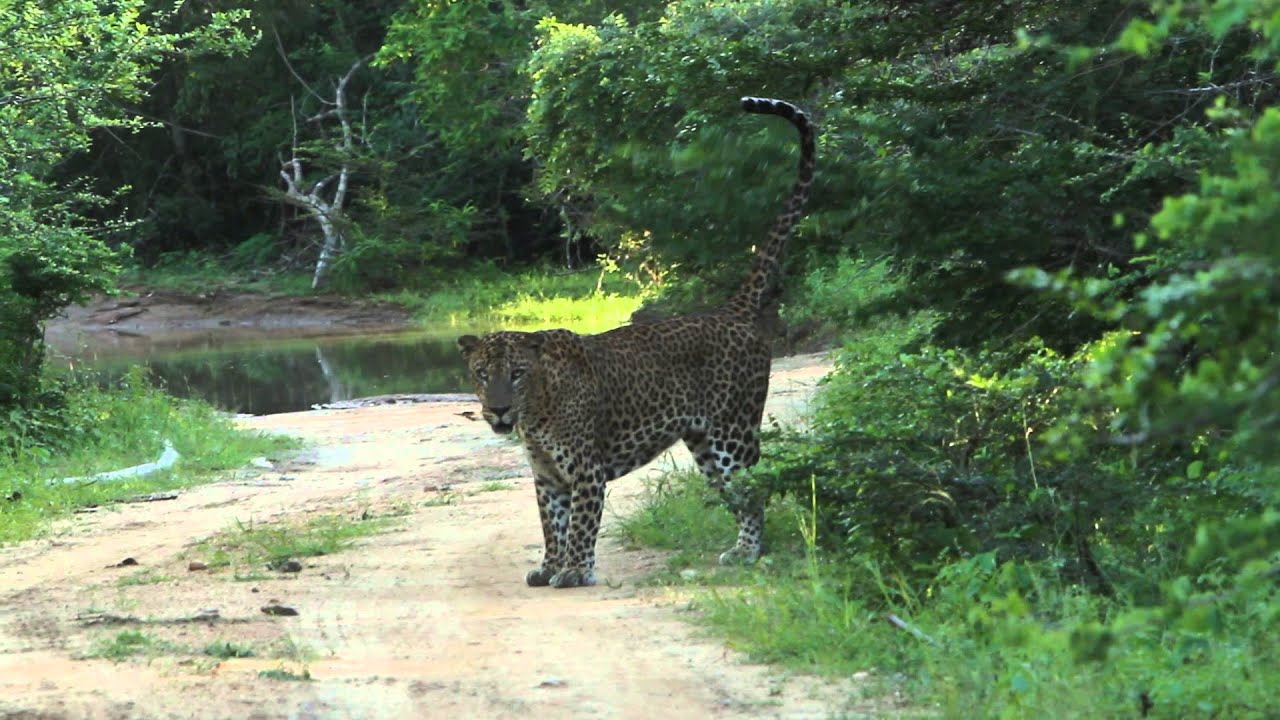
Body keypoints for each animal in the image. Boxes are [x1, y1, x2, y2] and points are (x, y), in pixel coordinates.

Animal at [458, 96, 815, 588]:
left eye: (516, 374)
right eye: (480, 374)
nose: (497, 410)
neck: (537, 407)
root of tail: (731, 311)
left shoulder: (585, 471)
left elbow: (580, 525)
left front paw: (574, 571)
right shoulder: (546, 476)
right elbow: (551, 523)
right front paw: (548, 567)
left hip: (733, 434)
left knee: (754, 489)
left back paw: (749, 552)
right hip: (704, 444)